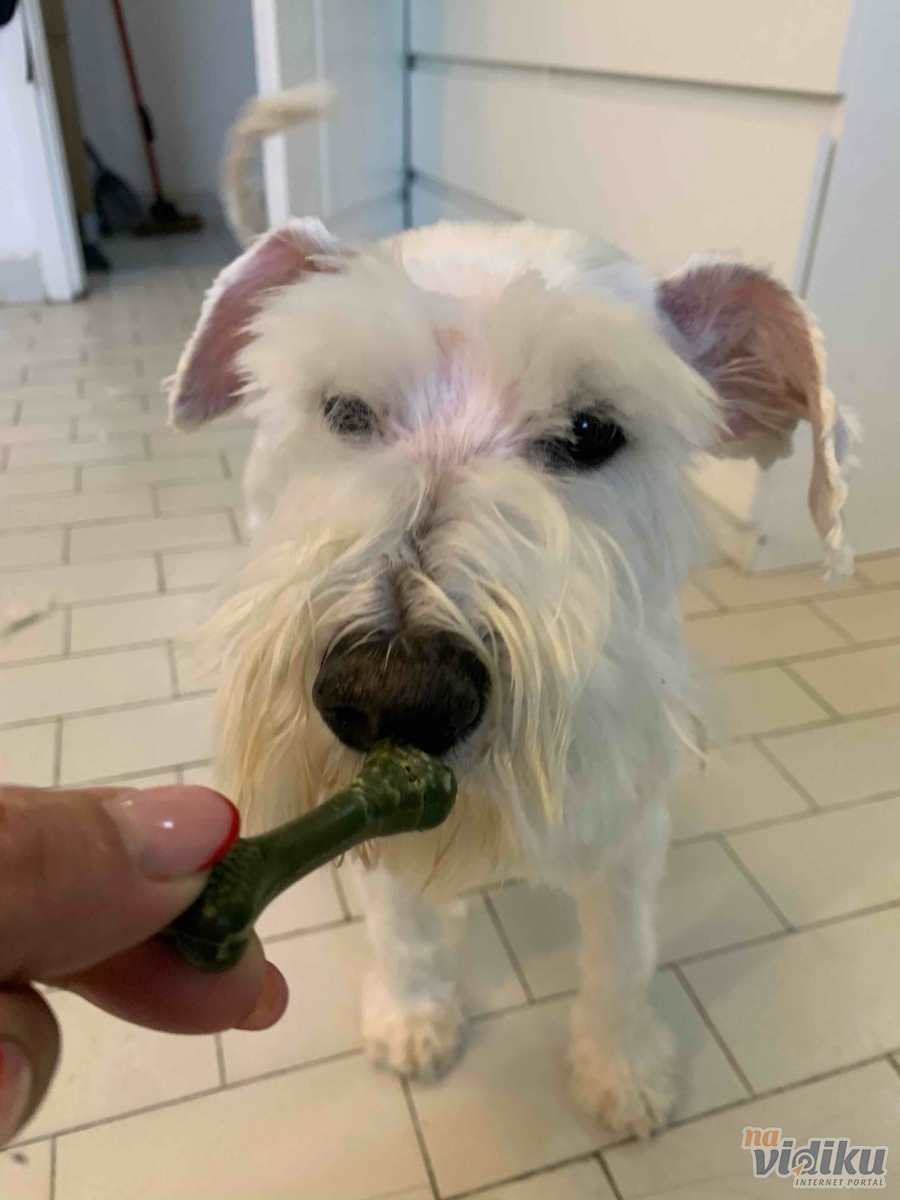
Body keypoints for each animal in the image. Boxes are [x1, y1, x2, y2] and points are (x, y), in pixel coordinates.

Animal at [167, 86, 855, 1137]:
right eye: (346, 411)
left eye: (592, 431)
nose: (393, 692)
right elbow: (401, 914)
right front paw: (413, 1015)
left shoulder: (632, 828)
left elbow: (623, 955)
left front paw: (621, 1069)